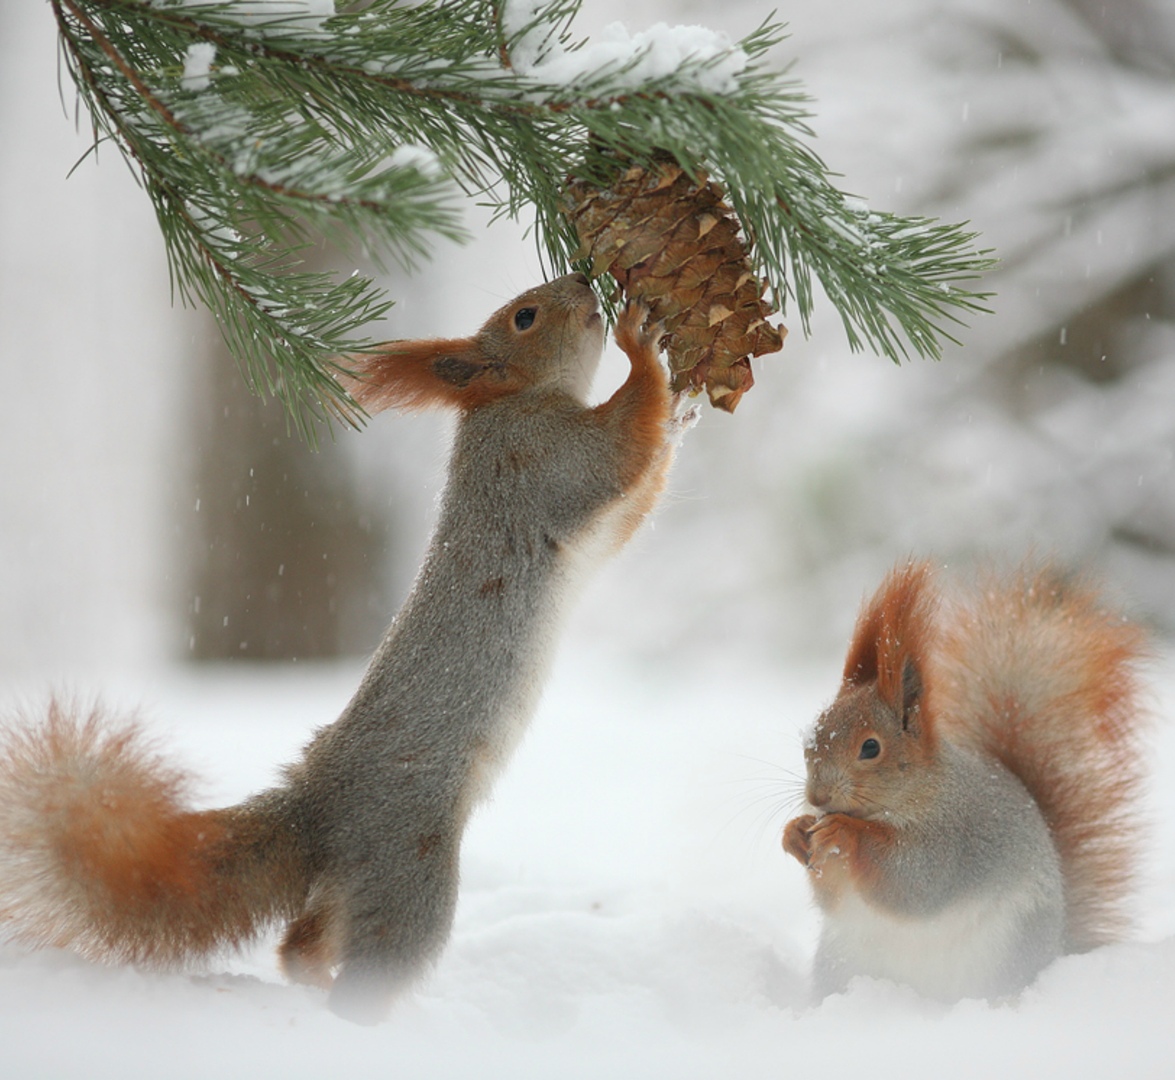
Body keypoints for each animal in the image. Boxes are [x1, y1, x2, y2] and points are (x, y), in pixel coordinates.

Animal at [0, 274, 681, 1024]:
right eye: (525, 316)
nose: (584, 281)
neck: (509, 402)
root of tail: (318, 809)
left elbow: (636, 501)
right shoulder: (545, 460)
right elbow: (623, 446)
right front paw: (643, 351)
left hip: (359, 879)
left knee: (301, 943)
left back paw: (312, 981)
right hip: (407, 867)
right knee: (376, 962)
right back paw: (371, 1021)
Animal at [780, 561, 1146, 1001]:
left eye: (870, 747)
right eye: (811, 736)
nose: (817, 797)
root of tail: (1057, 946)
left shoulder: (952, 838)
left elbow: (912, 881)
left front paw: (843, 832)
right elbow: (832, 897)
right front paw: (794, 832)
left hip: (1007, 951)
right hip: (841, 959)